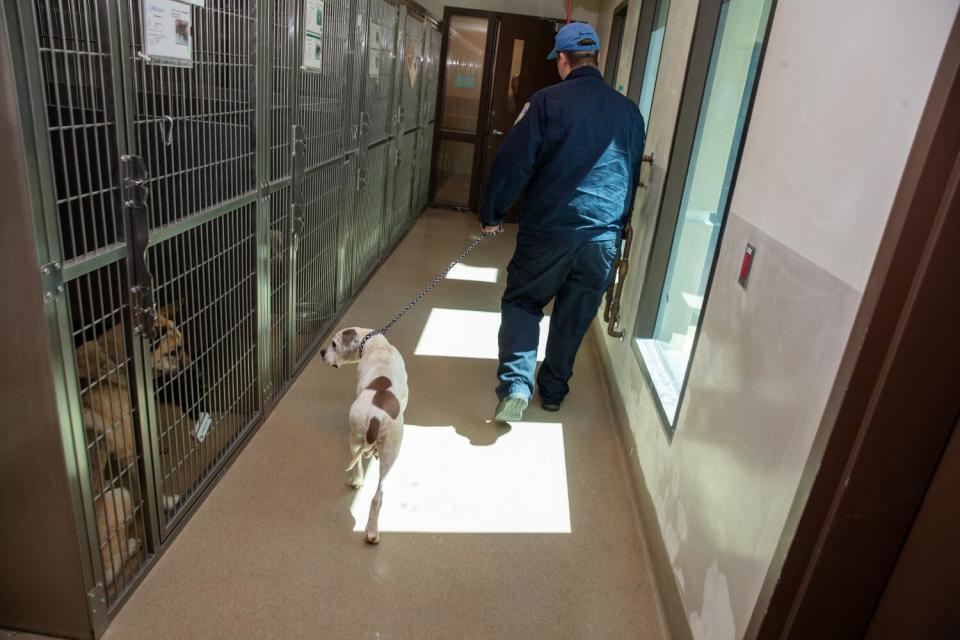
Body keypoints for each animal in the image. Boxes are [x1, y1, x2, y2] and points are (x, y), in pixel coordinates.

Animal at [316, 330, 404, 544]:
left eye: (334, 344)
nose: (321, 352)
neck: (377, 344)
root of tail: (376, 416)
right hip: (390, 451)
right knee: (377, 495)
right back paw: (371, 531)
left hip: (355, 438)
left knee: (359, 468)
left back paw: (357, 484)